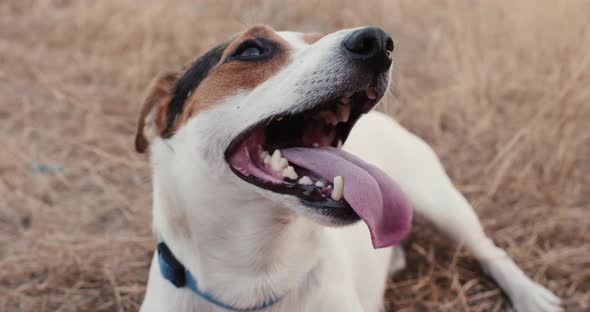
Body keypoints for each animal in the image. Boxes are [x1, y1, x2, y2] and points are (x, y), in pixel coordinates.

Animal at [135, 25, 564, 312]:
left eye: (316, 36)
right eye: (251, 50)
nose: (378, 41)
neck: (256, 280)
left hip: (442, 204)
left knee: (489, 249)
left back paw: (531, 295)